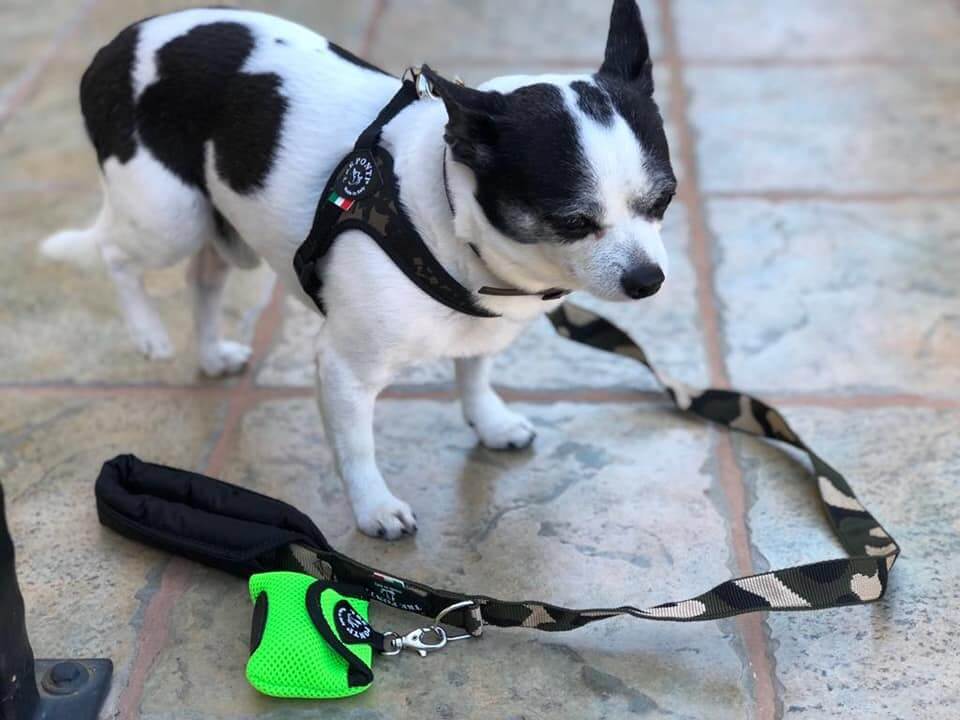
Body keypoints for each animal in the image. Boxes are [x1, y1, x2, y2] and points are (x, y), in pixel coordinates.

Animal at [43, 0, 676, 536]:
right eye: (572, 221)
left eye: (663, 201)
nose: (649, 280)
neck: (442, 215)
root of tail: (123, 40)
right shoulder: (344, 368)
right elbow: (356, 446)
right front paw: (374, 507)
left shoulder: (481, 326)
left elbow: (474, 374)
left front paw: (489, 422)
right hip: (167, 214)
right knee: (116, 255)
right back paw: (148, 333)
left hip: (220, 225)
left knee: (202, 279)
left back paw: (212, 353)